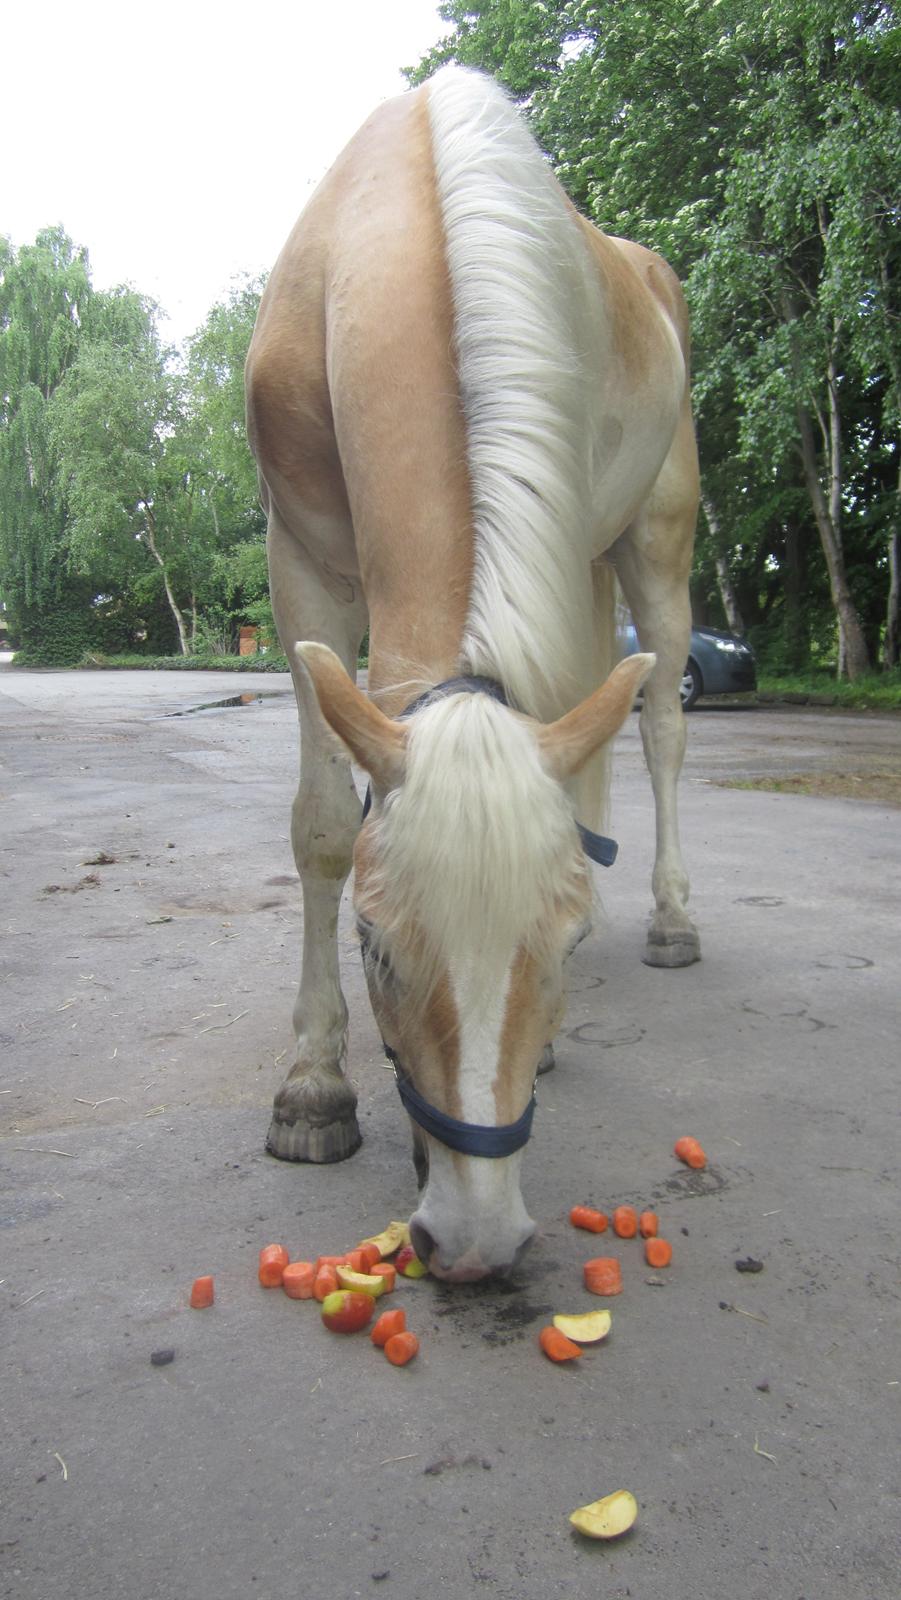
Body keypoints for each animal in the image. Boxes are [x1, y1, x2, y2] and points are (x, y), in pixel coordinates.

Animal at [246, 65, 704, 1286]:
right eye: (372, 946)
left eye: (557, 942)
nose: (478, 1232)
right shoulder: (301, 563)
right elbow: (321, 823)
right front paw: (313, 1085)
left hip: (653, 539)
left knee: (661, 723)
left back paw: (673, 916)